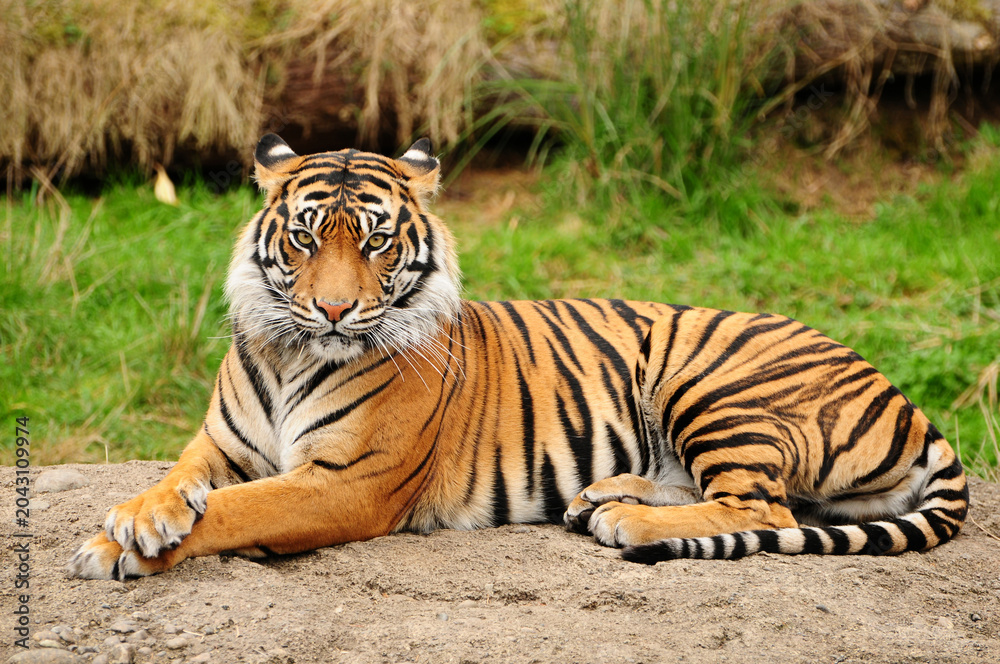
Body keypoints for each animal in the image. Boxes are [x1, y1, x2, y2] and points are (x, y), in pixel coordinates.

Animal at [68, 135, 968, 579]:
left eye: (377, 242)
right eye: (304, 237)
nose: (333, 309)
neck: (293, 353)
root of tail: (907, 399)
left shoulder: (345, 483)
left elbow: (238, 510)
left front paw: (117, 548)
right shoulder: (218, 445)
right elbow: (180, 482)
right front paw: (137, 518)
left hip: (711, 380)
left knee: (765, 509)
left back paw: (626, 520)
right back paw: (601, 496)